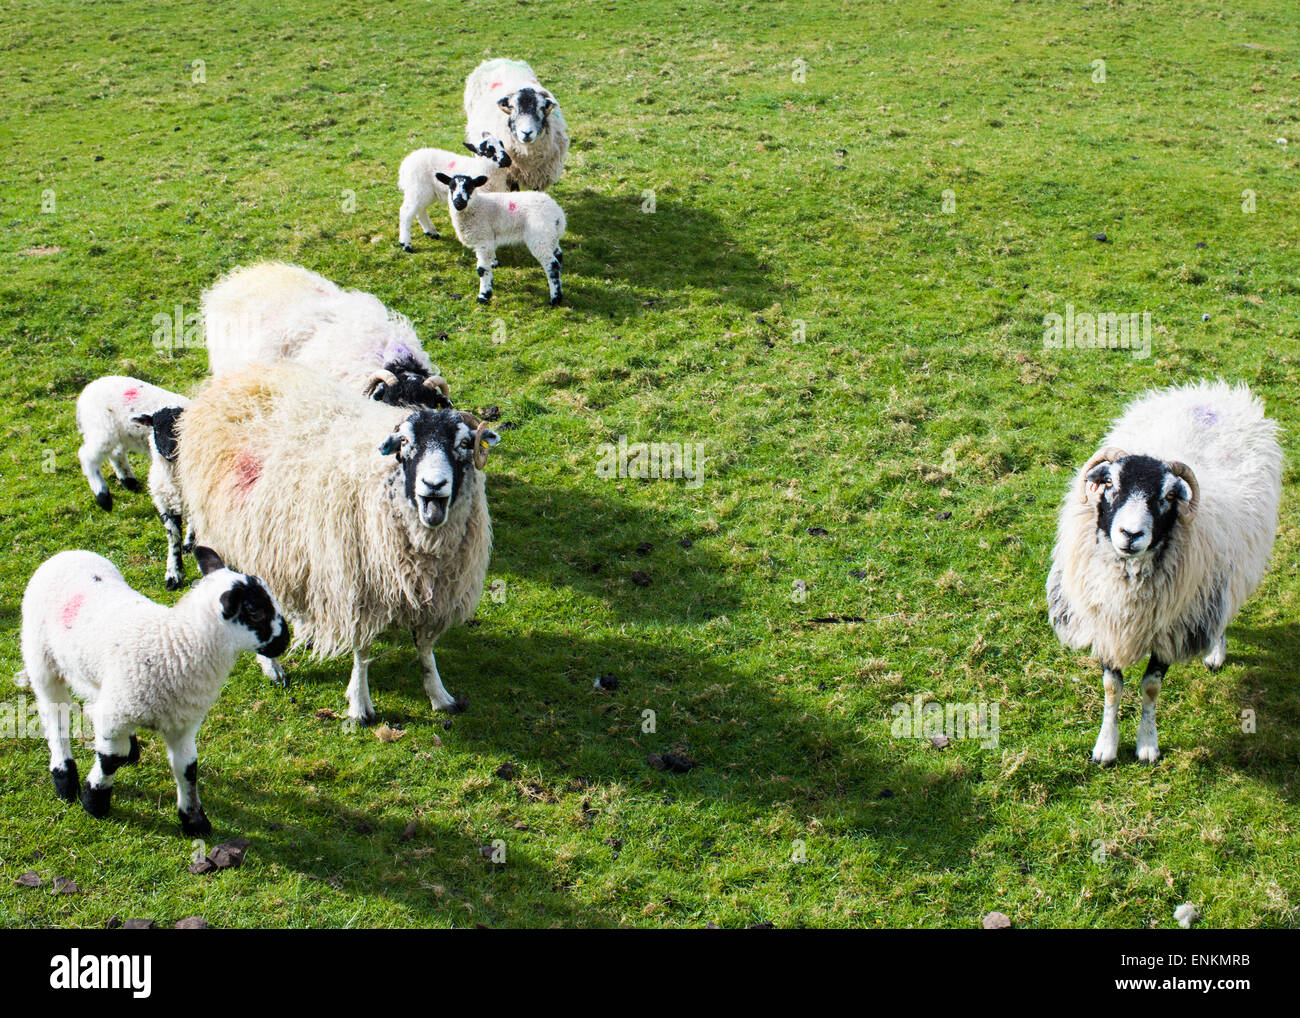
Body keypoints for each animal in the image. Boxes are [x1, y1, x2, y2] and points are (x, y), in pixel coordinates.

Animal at [17, 546, 289, 832]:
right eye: (255, 612)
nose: (285, 640)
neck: (176, 645)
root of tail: (67, 553)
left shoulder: (182, 724)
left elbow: (188, 768)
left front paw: (194, 820)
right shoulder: (118, 715)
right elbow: (109, 759)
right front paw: (94, 802)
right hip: (42, 659)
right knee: (55, 716)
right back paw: (64, 778)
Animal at [436, 171, 564, 306]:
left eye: (470, 187)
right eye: (451, 187)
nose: (459, 203)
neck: (477, 206)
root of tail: (558, 215)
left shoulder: (483, 239)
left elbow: (481, 269)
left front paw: (483, 296)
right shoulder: (488, 238)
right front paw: (493, 267)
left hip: (539, 237)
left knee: (552, 264)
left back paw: (555, 299)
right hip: (551, 237)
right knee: (558, 256)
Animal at [465, 57, 572, 192]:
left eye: (541, 108)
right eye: (512, 107)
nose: (526, 133)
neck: (527, 154)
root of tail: (498, 59)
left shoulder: (540, 176)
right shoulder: (510, 174)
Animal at [1045, 379, 1279, 764]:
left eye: (1168, 496)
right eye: (1110, 484)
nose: (1130, 534)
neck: (1129, 584)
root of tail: (1214, 390)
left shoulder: (1173, 626)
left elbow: (1151, 688)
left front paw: (1147, 745)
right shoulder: (1107, 622)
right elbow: (1112, 687)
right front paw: (1106, 746)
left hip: (1227, 570)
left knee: (1224, 610)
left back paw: (1215, 652)